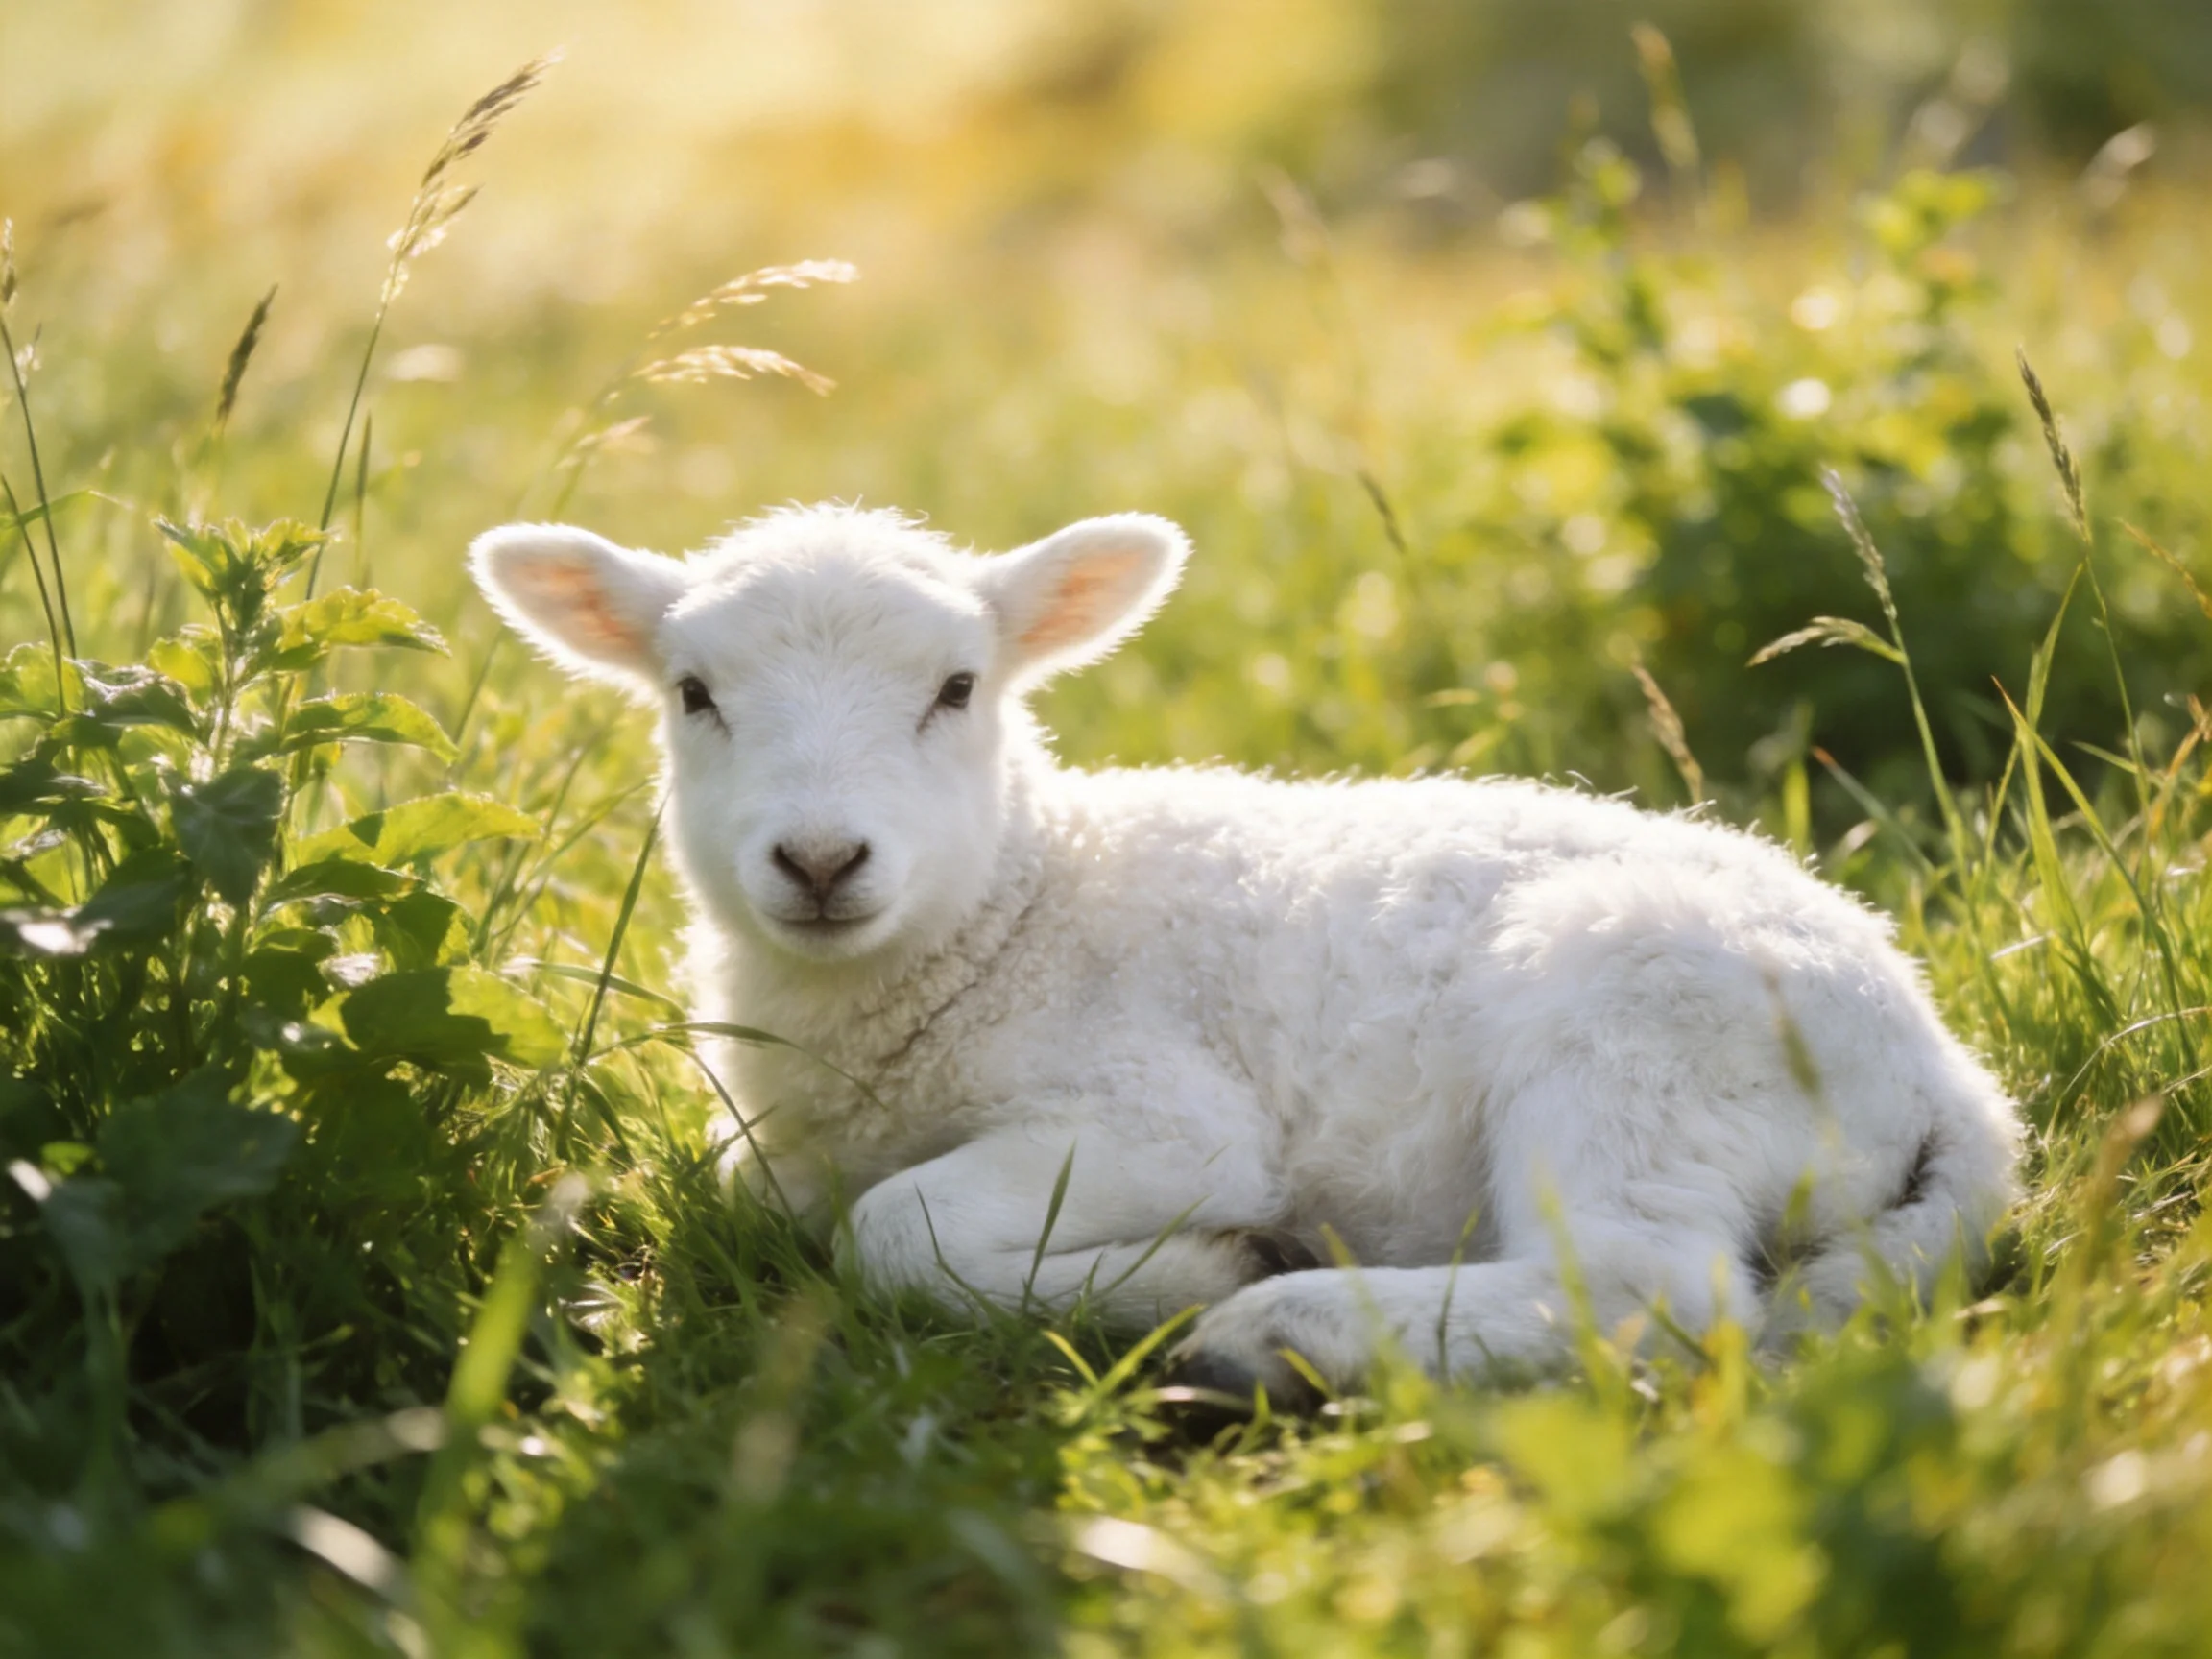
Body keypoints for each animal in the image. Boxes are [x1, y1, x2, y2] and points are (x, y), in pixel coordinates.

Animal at [470, 502, 2024, 1399]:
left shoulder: (1161, 1116)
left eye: (958, 688)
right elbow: (767, 1199)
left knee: (1648, 1288)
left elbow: (891, 1232)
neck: (1017, 908)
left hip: (1639, 1037)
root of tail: (1950, 1077)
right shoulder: (774, 1148)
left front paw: (1188, 1272)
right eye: (693, 693)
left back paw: (1274, 1330)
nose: (819, 861)